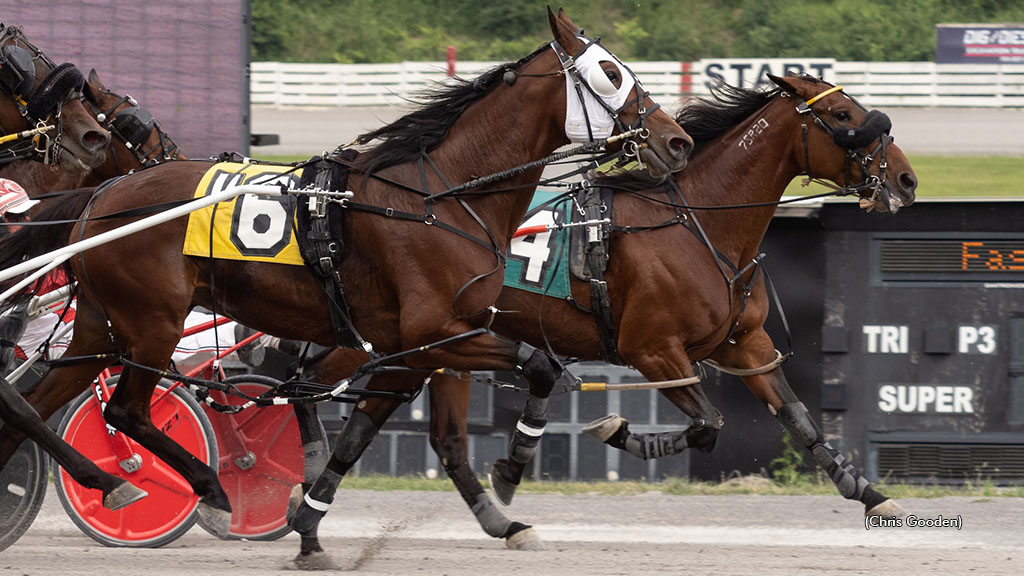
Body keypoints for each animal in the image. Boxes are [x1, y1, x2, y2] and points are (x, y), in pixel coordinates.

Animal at [0, 5, 692, 561]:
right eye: (610, 74)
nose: (678, 140)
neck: (438, 197)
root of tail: (100, 197)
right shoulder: (434, 330)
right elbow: (543, 366)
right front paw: (513, 465)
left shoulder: (432, 340)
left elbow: (414, 433)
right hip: (152, 323)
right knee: (124, 410)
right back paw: (203, 486)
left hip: (101, 326)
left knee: (31, 406)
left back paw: (97, 482)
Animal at [288, 71, 921, 553]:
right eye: (841, 114)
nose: (907, 178)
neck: (697, 224)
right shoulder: (654, 350)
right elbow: (707, 423)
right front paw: (615, 429)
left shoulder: (746, 342)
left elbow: (798, 419)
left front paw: (870, 493)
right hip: (395, 337)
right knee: (309, 384)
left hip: (425, 346)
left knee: (370, 410)